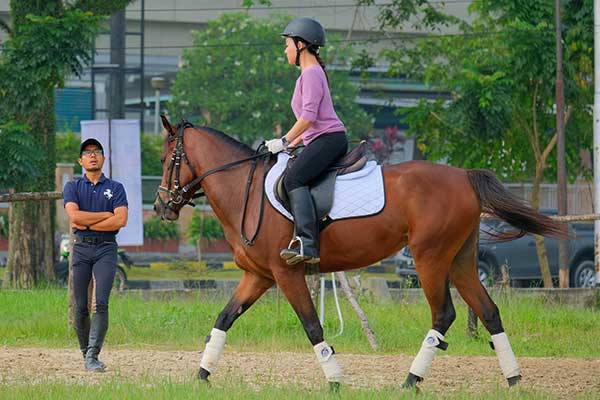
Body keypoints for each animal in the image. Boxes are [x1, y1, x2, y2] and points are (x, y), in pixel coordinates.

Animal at [152, 115, 564, 390]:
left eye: (165, 159)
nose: (160, 206)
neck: (246, 191)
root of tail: (463, 175)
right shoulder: (258, 275)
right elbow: (223, 319)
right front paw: (202, 375)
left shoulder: (287, 273)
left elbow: (312, 326)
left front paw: (334, 380)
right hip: (460, 260)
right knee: (489, 312)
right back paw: (513, 379)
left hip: (430, 258)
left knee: (443, 314)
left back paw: (411, 381)